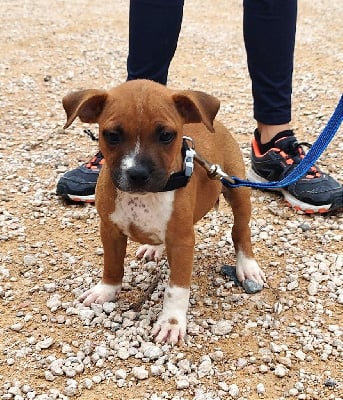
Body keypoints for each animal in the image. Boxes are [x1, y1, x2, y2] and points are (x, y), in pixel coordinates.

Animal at [62, 78, 266, 344]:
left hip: (237, 191)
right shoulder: (110, 230)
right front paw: (106, 290)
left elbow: (176, 290)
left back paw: (247, 266)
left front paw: (171, 322)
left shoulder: (181, 242)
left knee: (240, 231)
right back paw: (154, 247)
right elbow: (112, 265)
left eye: (166, 135)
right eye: (112, 135)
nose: (137, 174)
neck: (144, 198)